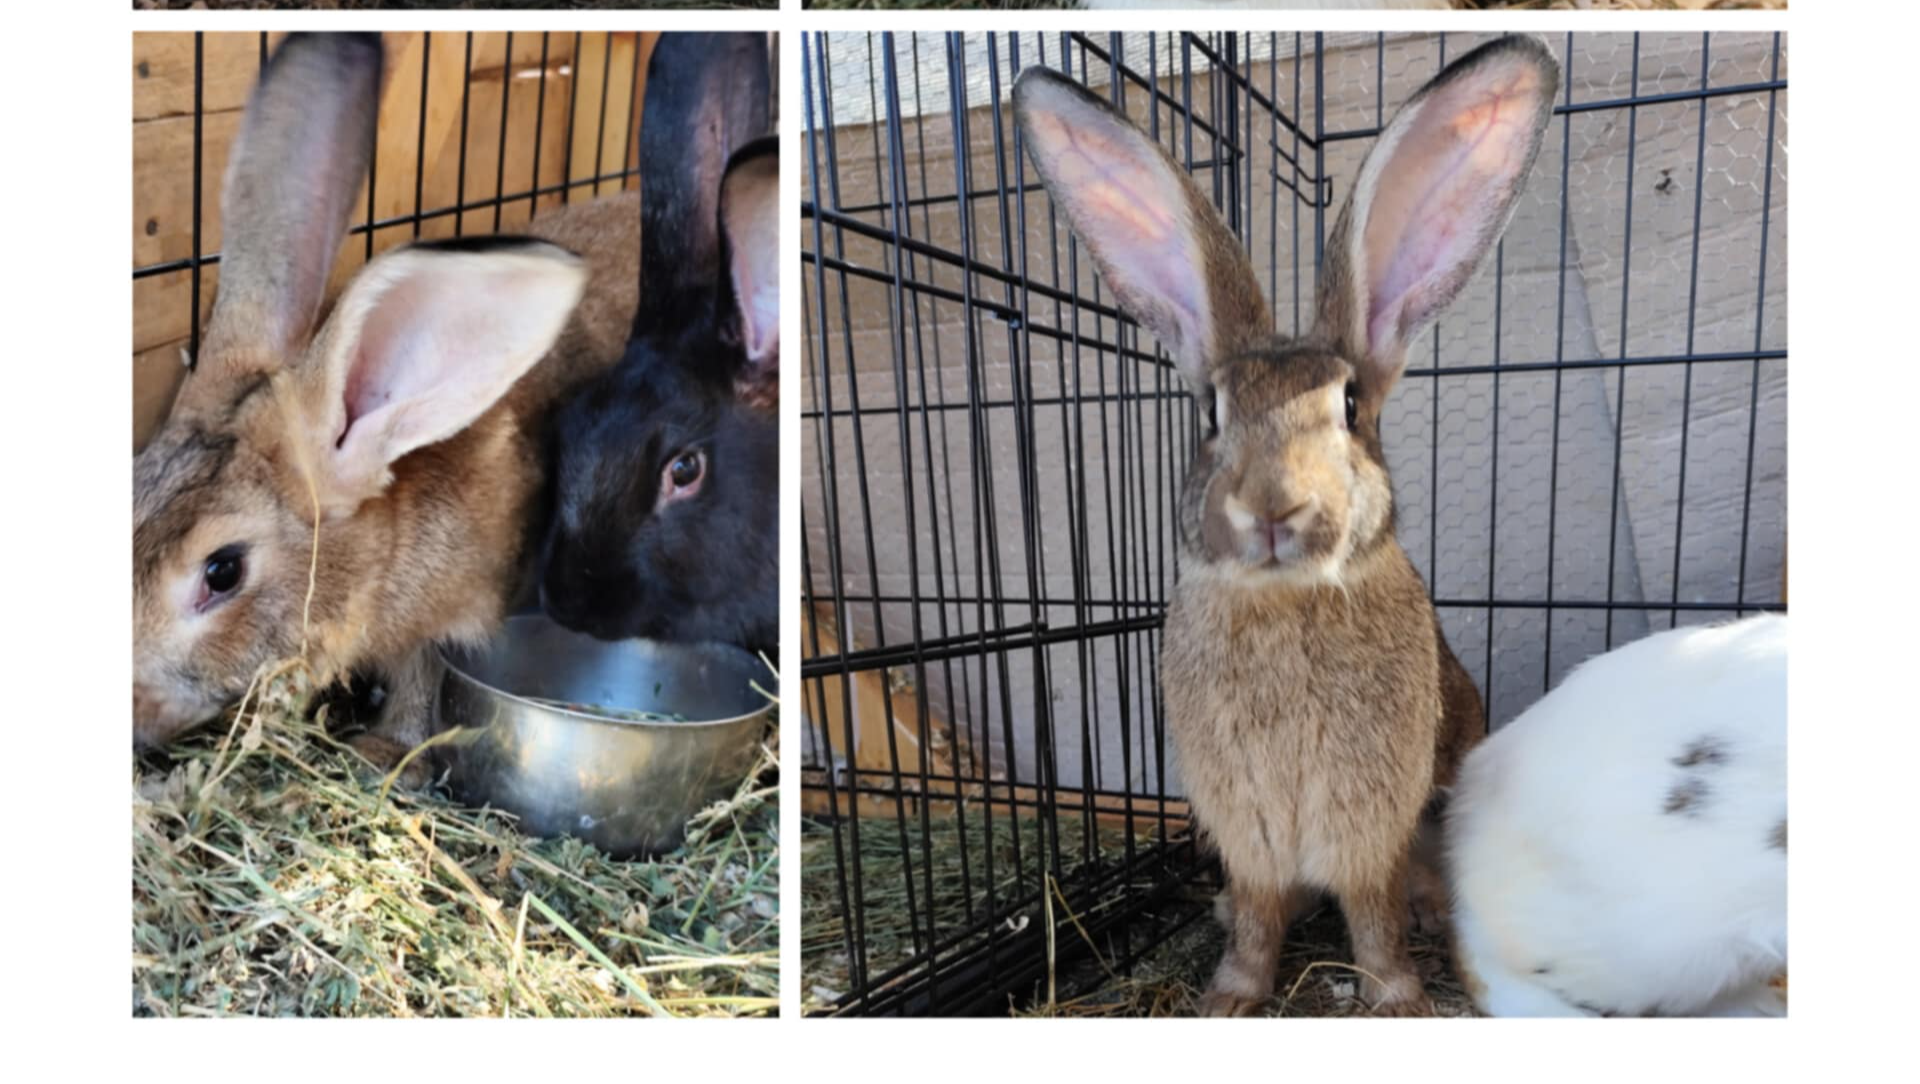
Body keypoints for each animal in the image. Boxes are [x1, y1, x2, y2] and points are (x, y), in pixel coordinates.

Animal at [1013, 34, 1558, 1016]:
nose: (1272, 505)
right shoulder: (1248, 830)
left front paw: (1399, 999)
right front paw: (1228, 998)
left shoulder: (1369, 826)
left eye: (1348, 406)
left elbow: (1373, 916)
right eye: (1210, 414)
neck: (1285, 596)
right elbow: (1263, 916)